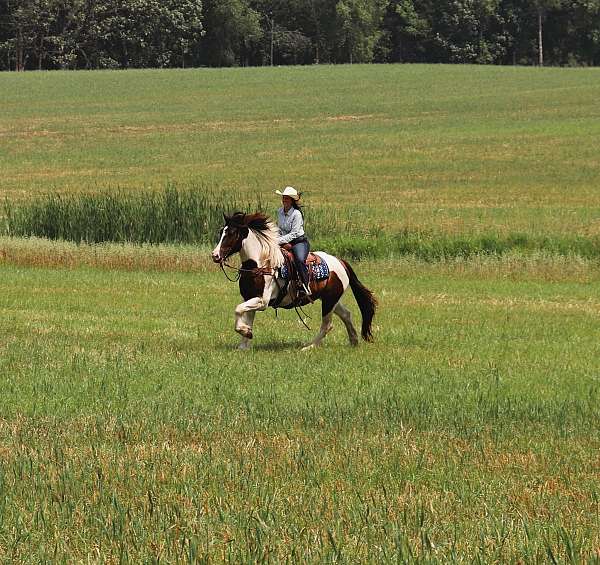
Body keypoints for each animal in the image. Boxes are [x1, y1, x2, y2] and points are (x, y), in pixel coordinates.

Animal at [213, 213, 378, 348]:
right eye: (221, 232)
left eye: (232, 233)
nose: (215, 255)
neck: (259, 265)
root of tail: (340, 262)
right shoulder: (249, 297)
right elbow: (246, 316)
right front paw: (244, 343)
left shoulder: (262, 301)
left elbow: (238, 309)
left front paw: (245, 332)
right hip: (331, 299)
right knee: (346, 314)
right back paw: (354, 341)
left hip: (329, 301)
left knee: (327, 325)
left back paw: (308, 347)